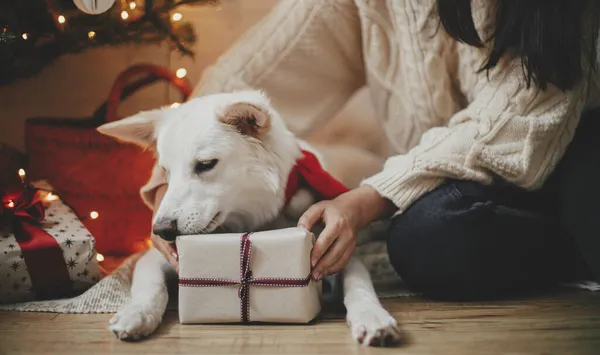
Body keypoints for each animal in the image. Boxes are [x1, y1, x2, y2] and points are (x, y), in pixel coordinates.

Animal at [97, 90, 398, 346]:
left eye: (205, 165)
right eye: (166, 172)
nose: (160, 230)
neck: (253, 220)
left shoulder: (336, 247)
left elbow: (358, 282)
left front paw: (372, 316)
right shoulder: (158, 256)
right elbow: (151, 286)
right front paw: (136, 313)